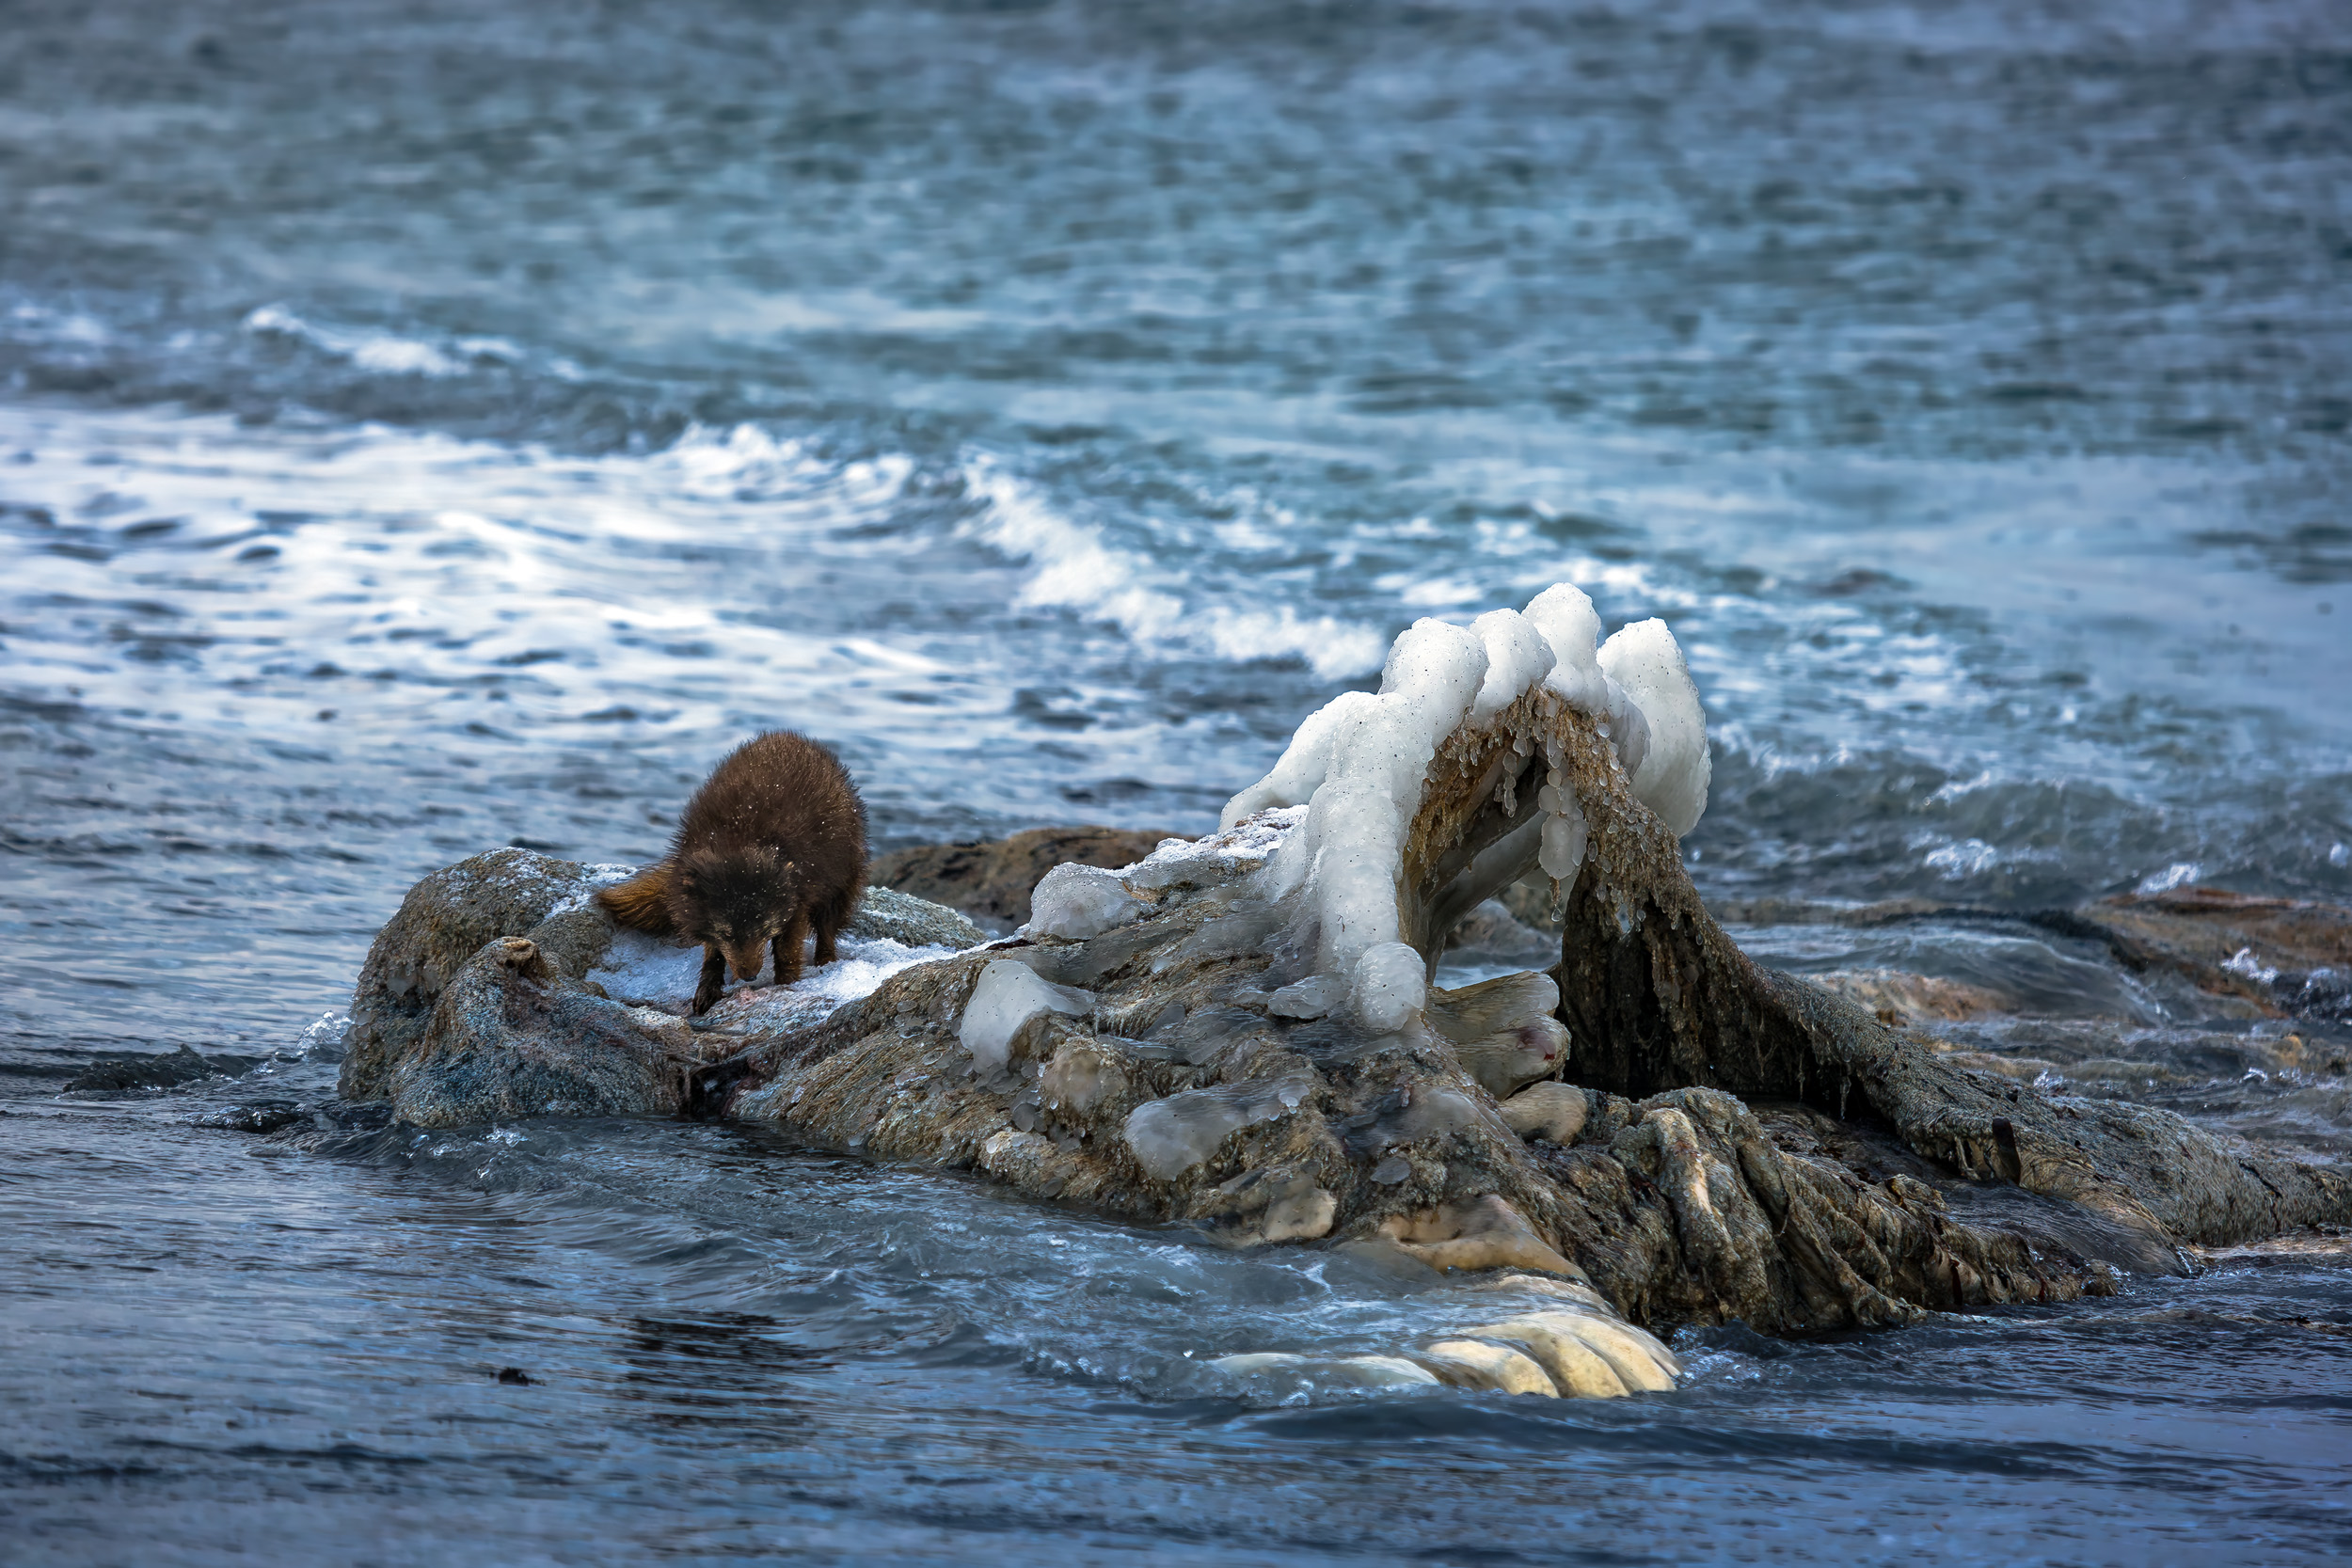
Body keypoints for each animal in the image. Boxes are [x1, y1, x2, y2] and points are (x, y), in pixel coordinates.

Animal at [597, 728, 875, 1010]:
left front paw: (785, 983)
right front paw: (708, 986)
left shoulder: (798, 898)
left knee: (828, 923)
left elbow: (787, 950)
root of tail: (788, 736)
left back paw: (825, 959)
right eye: (726, 933)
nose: (749, 976)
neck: (738, 842)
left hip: (843, 875)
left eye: (764, 929)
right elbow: (712, 952)